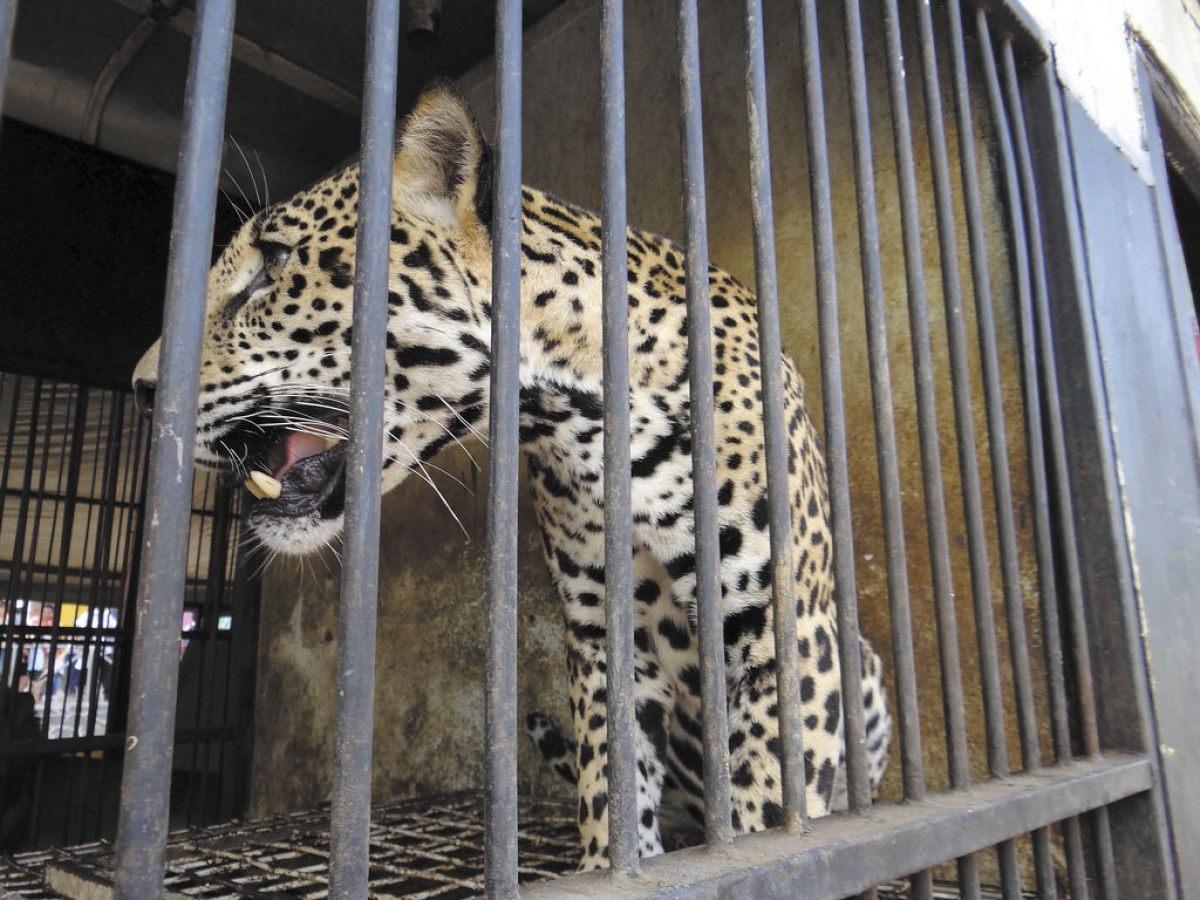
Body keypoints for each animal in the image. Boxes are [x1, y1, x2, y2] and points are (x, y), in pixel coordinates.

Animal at [132, 80, 892, 869]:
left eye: (274, 262)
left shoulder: (780, 625)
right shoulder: (602, 635)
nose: (142, 390)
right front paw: (604, 868)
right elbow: (611, 793)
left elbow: (772, 810)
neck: (583, 413)